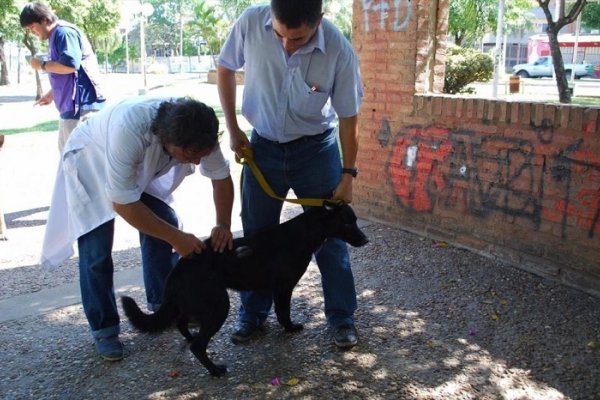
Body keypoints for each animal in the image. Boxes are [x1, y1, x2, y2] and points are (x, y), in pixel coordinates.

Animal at [120, 205, 368, 376]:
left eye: (356, 220)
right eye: (347, 224)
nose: (366, 240)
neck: (304, 232)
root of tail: (179, 268)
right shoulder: (283, 288)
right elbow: (283, 313)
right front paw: (290, 328)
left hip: (196, 303)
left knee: (182, 324)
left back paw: (190, 337)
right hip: (218, 306)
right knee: (198, 346)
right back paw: (215, 370)